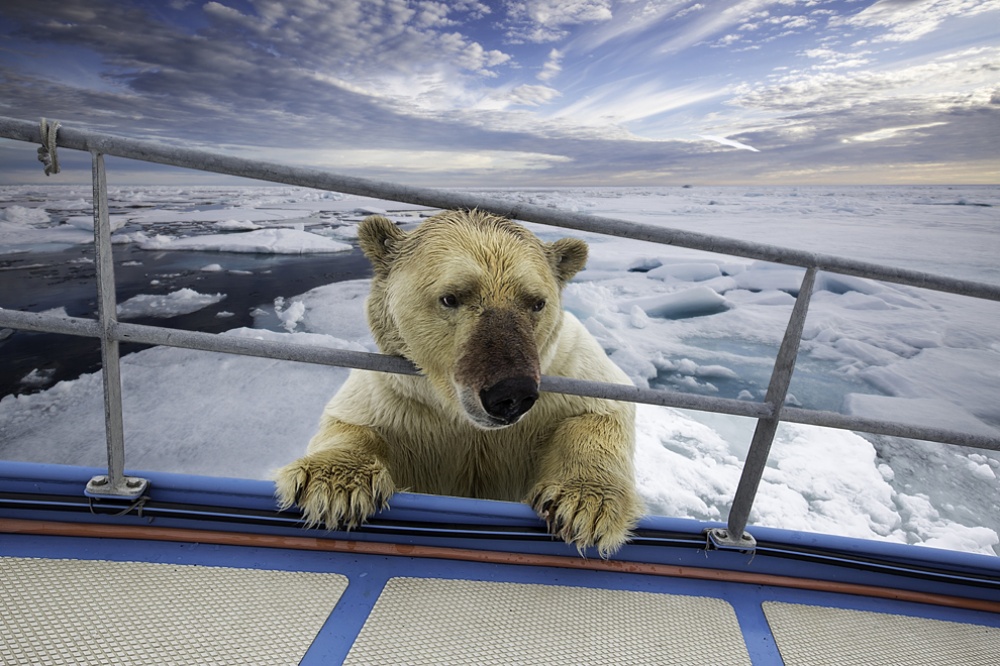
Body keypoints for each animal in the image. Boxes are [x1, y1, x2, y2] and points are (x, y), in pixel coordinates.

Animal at [274, 210, 640, 552]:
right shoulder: (397, 395)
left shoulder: (566, 369)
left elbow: (602, 410)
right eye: (451, 297)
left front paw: (584, 504)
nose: (510, 394)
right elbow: (350, 421)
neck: (464, 419)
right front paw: (332, 485)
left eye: (537, 302)